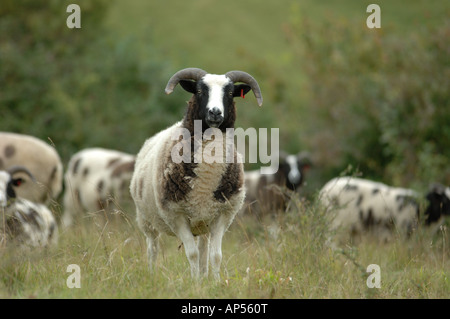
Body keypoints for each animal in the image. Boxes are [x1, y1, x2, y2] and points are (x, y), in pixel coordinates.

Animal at [130, 67, 262, 280]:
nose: (215, 112)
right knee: (153, 248)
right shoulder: (177, 215)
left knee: (203, 249)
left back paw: (203, 275)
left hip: (203, 221)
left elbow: (215, 255)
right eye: (200, 91)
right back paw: (152, 274)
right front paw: (195, 283)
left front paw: (215, 282)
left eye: (230, 93)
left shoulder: (222, 214)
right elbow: (191, 254)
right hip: (146, 220)